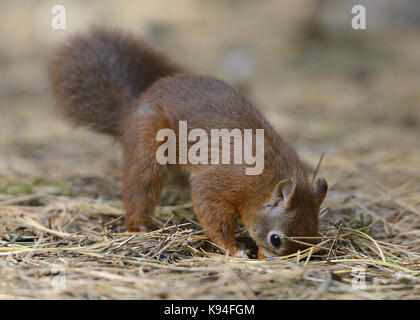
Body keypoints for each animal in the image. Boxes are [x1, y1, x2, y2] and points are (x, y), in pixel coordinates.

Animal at [47, 29, 326, 260]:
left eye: (314, 238)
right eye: (275, 239)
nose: (272, 261)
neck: (265, 183)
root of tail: (130, 110)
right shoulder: (224, 180)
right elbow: (211, 211)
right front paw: (233, 249)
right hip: (148, 139)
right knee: (140, 187)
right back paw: (138, 227)